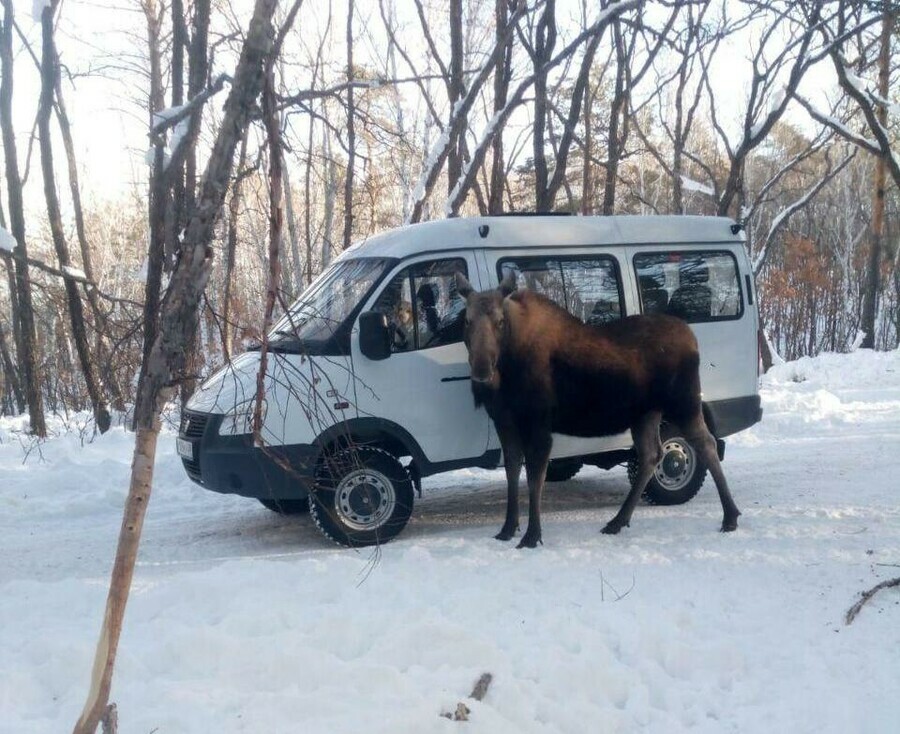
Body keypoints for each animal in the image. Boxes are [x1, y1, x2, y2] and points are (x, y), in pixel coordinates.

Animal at [454, 274, 740, 548]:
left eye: (500, 321)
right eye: (466, 320)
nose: (481, 370)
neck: (508, 368)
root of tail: (693, 338)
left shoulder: (539, 424)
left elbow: (535, 478)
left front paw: (532, 535)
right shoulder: (505, 422)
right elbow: (512, 472)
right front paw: (507, 529)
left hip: (684, 403)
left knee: (706, 444)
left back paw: (730, 516)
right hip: (645, 414)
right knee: (651, 454)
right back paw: (617, 521)